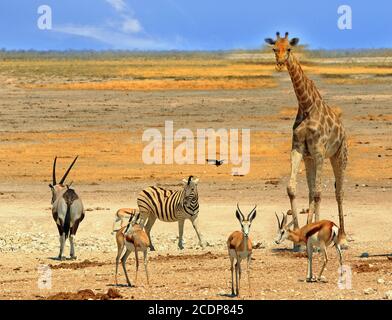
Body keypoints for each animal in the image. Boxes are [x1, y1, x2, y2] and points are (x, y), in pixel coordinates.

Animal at [264, 32, 348, 248]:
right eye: (274, 48)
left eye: (289, 48)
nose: (280, 62)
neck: (306, 105)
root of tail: (344, 130)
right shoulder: (299, 148)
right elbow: (292, 188)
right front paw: (297, 240)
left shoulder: (319, 151)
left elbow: (319, 193)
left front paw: (319, 241)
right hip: (310, 159)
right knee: (311, 190)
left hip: (339, 155)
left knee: (339, 191)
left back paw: (342, 237)